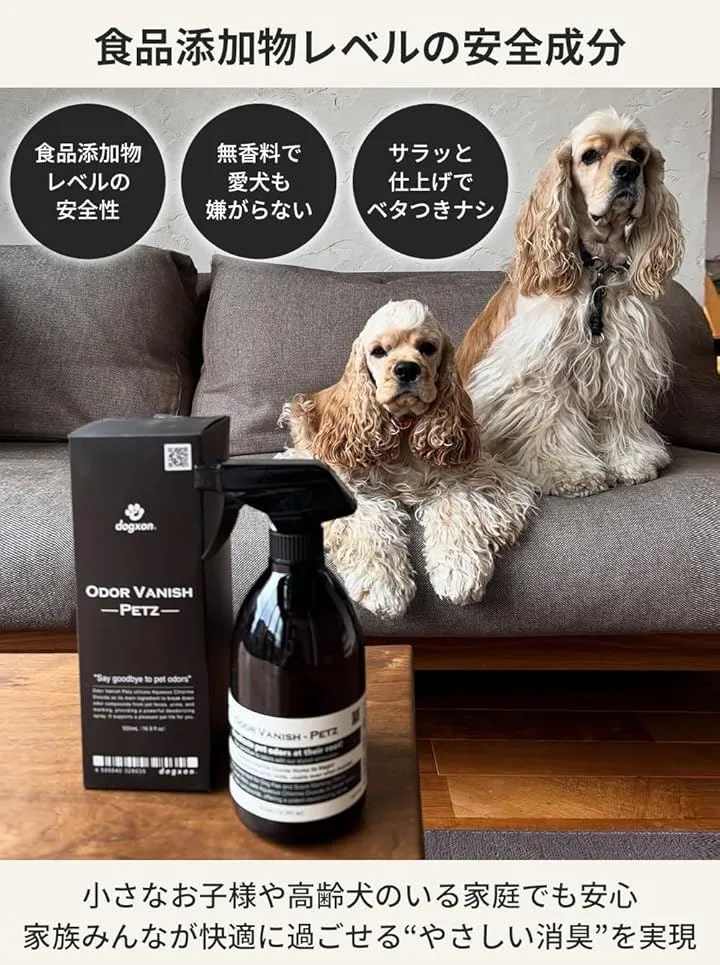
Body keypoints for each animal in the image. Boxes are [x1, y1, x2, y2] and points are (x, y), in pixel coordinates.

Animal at [280, 299, 536, 619]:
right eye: (378, 351)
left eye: (427, 347)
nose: (406, 369)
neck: (403, 428)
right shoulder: (339, 482)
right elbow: (369, 521)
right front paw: (384, 585)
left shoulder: (472, 474)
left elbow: (458, 507)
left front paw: (459, 569)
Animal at [456, 107, 685, 497]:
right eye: (590, 156)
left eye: (639, 154)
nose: (627, 170)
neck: (599, 271)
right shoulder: (545, 369)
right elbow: (551, 421)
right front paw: (569, 471)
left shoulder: (620, 360)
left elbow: (618, 412)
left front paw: (631, 461)